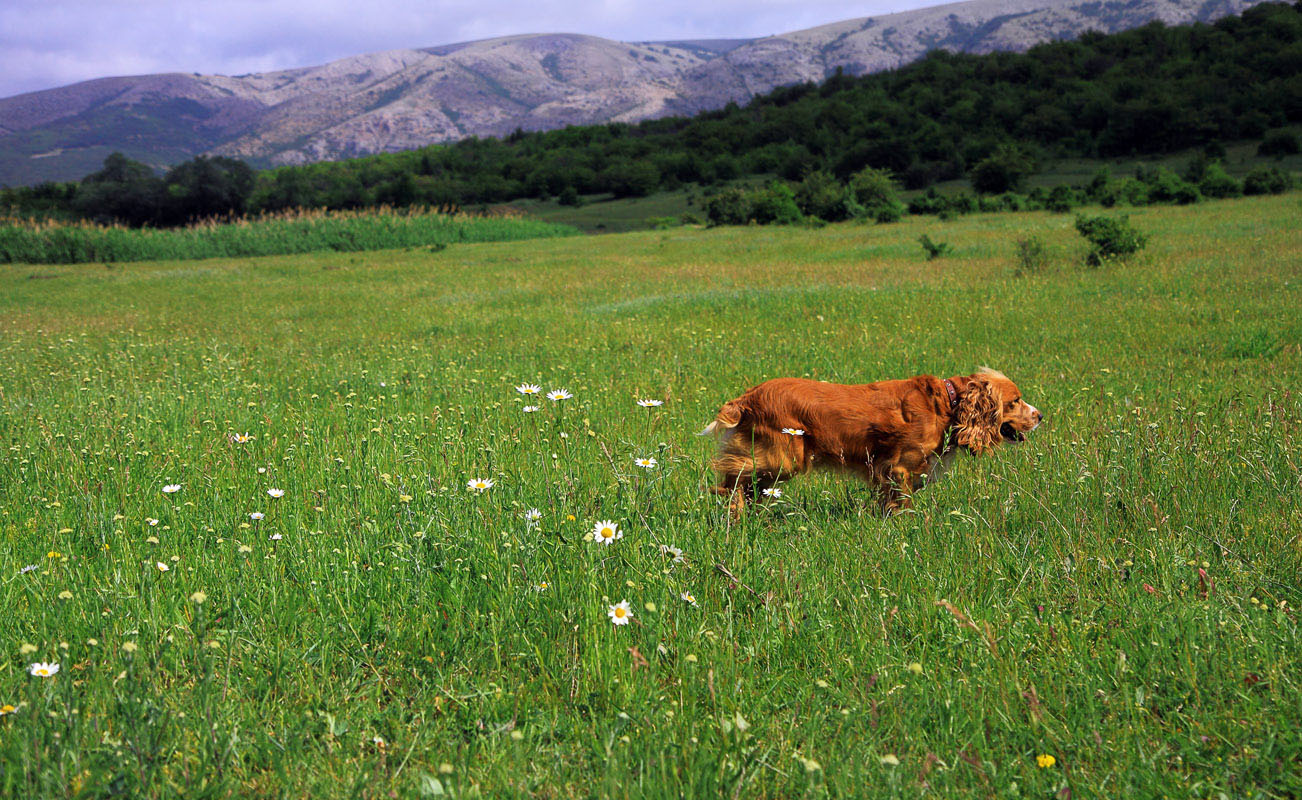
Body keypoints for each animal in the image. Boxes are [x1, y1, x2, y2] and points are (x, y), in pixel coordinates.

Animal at [697, 372, 1041, 521]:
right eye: (1015, 401)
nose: (1040, 415)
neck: (948, 401)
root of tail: (748, 396)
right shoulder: (899, 467)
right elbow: (902, 503)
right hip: (784, 457)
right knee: (734, 477)